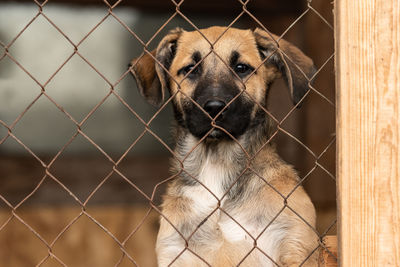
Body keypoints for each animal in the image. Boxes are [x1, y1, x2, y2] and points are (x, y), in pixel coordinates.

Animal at [130, 26, 318, 266]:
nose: (214, 107)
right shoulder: (175, 252)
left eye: (241, 68)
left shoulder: (293, 245)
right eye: (190, 69)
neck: (216, 165)